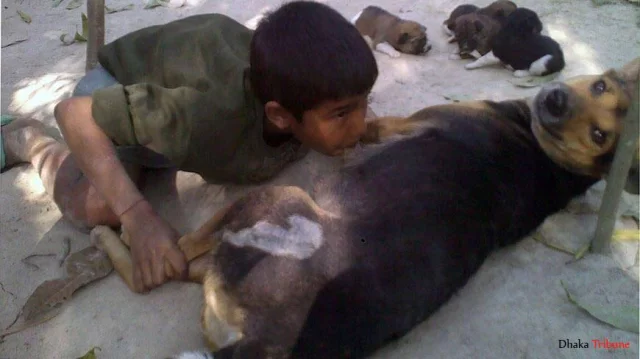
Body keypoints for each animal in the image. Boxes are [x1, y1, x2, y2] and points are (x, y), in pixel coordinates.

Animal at [92, 57, 636, 358]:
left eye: (598, 134)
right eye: (601, 88)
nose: (556, 101)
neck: (546, 158)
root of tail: (264, 342)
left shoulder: (405, 122)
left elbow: (374, 126)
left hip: (274, 205)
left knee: (170, 259)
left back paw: (115, 238)